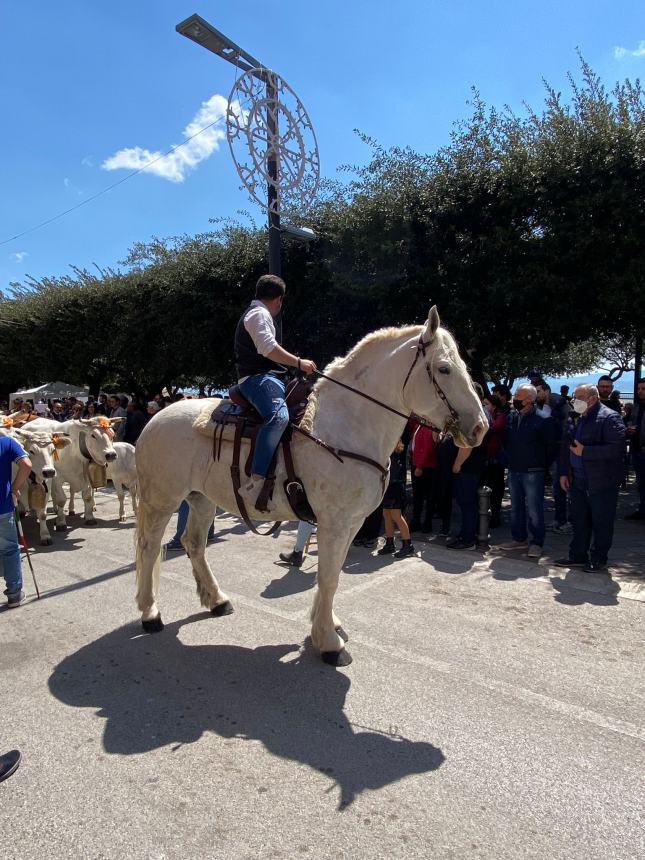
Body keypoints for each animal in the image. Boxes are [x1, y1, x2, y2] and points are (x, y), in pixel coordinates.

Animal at [136, 308, 488, 664]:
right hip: (162, 500)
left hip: (201, 499)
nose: (480, 428)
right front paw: (330, 644)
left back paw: (217, 600)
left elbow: (332, 576)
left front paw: (328, 625)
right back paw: (150, 613)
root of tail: (155, 418)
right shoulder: (335, 523)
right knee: (150, 547)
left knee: (193, 543)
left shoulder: (352, 523)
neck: (346, 427)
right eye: (444, 368)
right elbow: (329, 578)